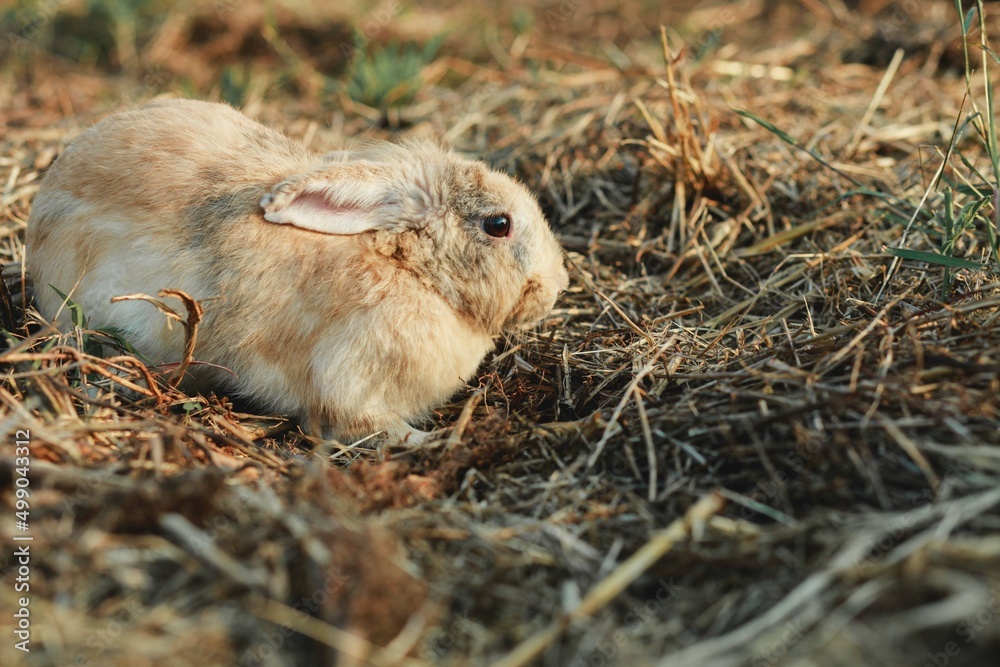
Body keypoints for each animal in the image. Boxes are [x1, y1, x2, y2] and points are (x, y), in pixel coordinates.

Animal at [26, 98, 568, 444]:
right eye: (498, 224)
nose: (558, 286)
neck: (404, 266)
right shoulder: (347, 381)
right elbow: (362, 425)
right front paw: (426, 440)